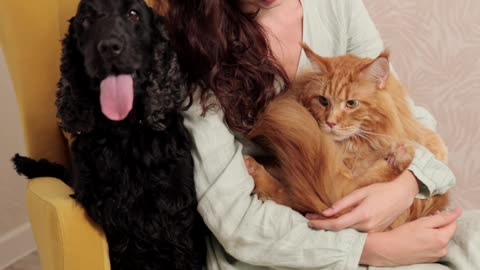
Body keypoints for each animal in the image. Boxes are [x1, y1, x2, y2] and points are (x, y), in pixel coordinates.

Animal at [12, 1, 204, 268]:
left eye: (134, 14)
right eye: (86, 20)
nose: (109, 47)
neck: (124, 132)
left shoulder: (177, 213)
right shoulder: (112, 220)